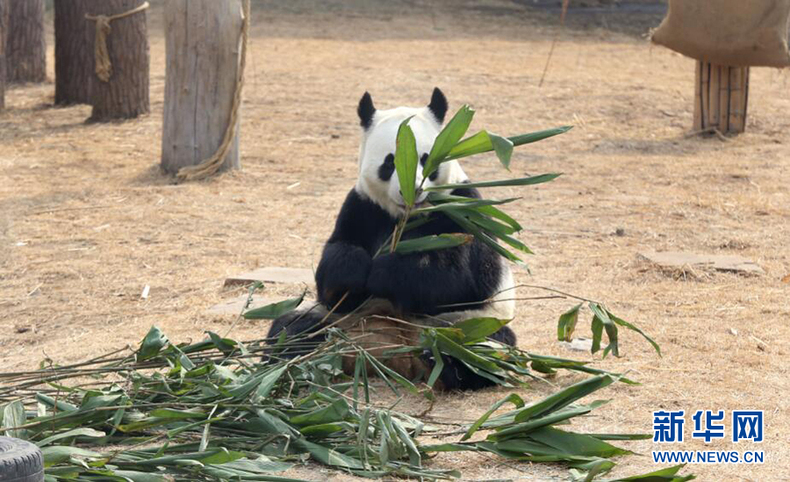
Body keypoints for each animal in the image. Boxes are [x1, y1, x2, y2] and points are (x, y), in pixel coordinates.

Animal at [270, 88, 520, 392]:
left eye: (426, 159)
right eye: (390, 162)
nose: (411, 189)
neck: (407, 214)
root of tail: (390, 355)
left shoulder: (464, 210)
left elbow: (459, 281)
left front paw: (384, 271)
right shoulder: (361, 206)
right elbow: (332, 275)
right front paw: (354, 269)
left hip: (467, 323)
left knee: (484, 346)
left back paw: (445, 364)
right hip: (339, 322)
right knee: (292, 329)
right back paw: (295, 364)